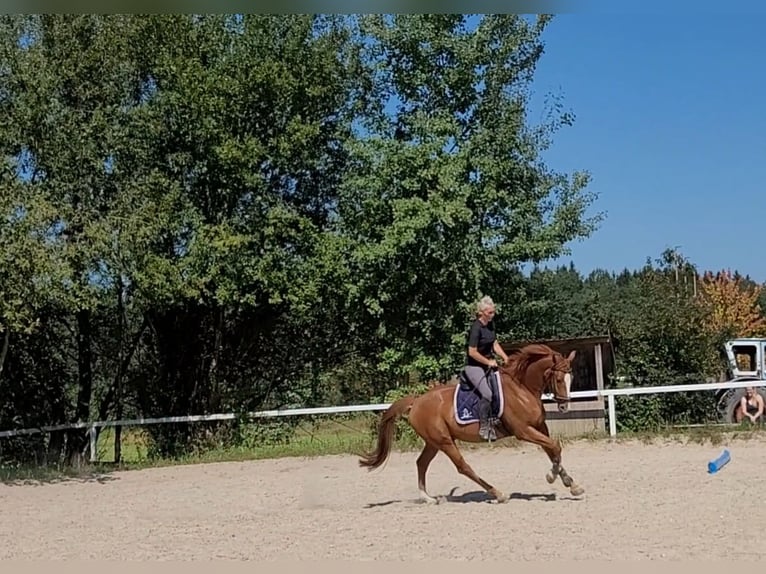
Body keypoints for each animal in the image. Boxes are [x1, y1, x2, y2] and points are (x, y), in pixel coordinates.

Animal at [356, 344, 584, 506]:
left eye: (571, 377)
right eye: (558, 379)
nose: (564, 406)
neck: (523, 389)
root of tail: (417, 401)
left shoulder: (539, 427)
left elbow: (552, 450)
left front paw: (571, 485)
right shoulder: (523, 431)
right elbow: (555, 447)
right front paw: (552, 477)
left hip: (434, 442)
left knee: (421, 463)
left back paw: (428, 498)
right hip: (444, 441)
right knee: (462, 466)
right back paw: (498, 493)